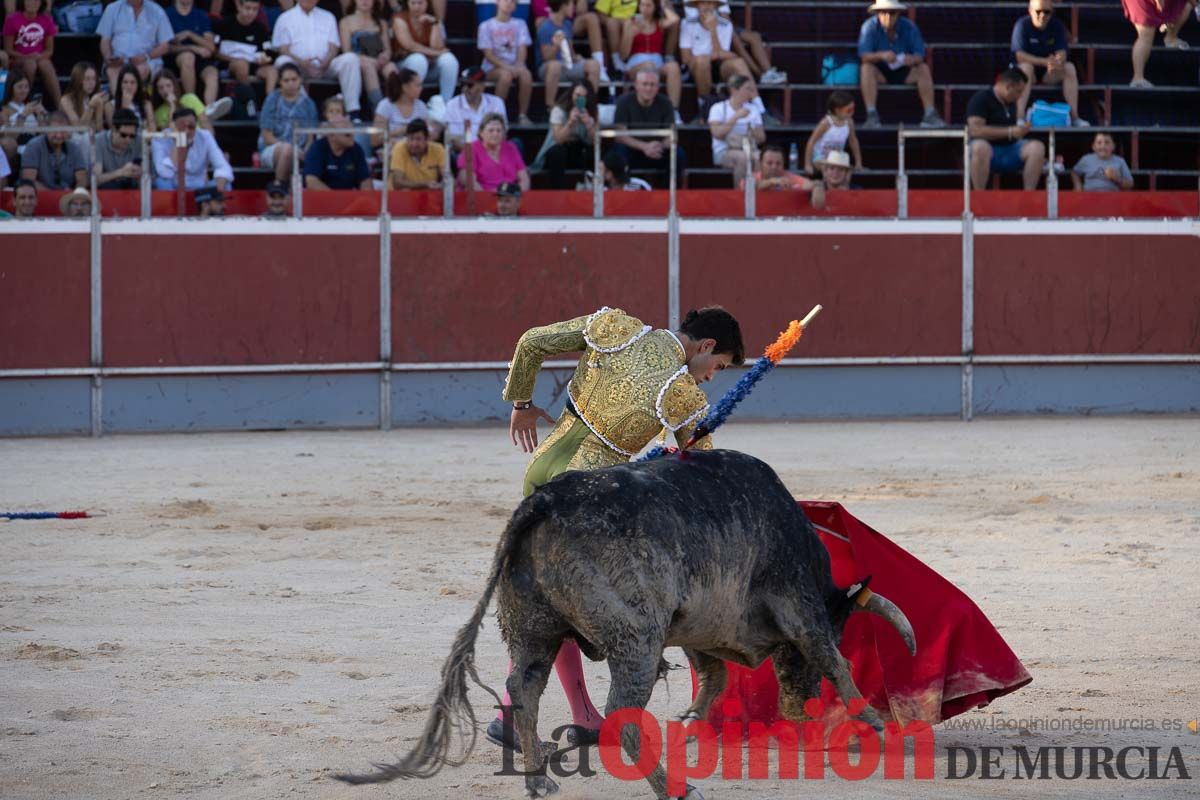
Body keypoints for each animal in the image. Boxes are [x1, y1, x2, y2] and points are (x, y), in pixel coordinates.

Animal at [333, 448, 912, 796]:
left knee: (524, 689)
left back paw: (539, 779)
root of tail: (543, 501)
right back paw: (678, 789)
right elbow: (833, 662)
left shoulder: (692, 624)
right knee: (620, 713)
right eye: (843, 627)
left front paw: (691, 723)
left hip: (533, 629)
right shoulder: (800, 606)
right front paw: (880, 725)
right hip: (635, 639)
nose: (799, 706)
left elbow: (714, 673)